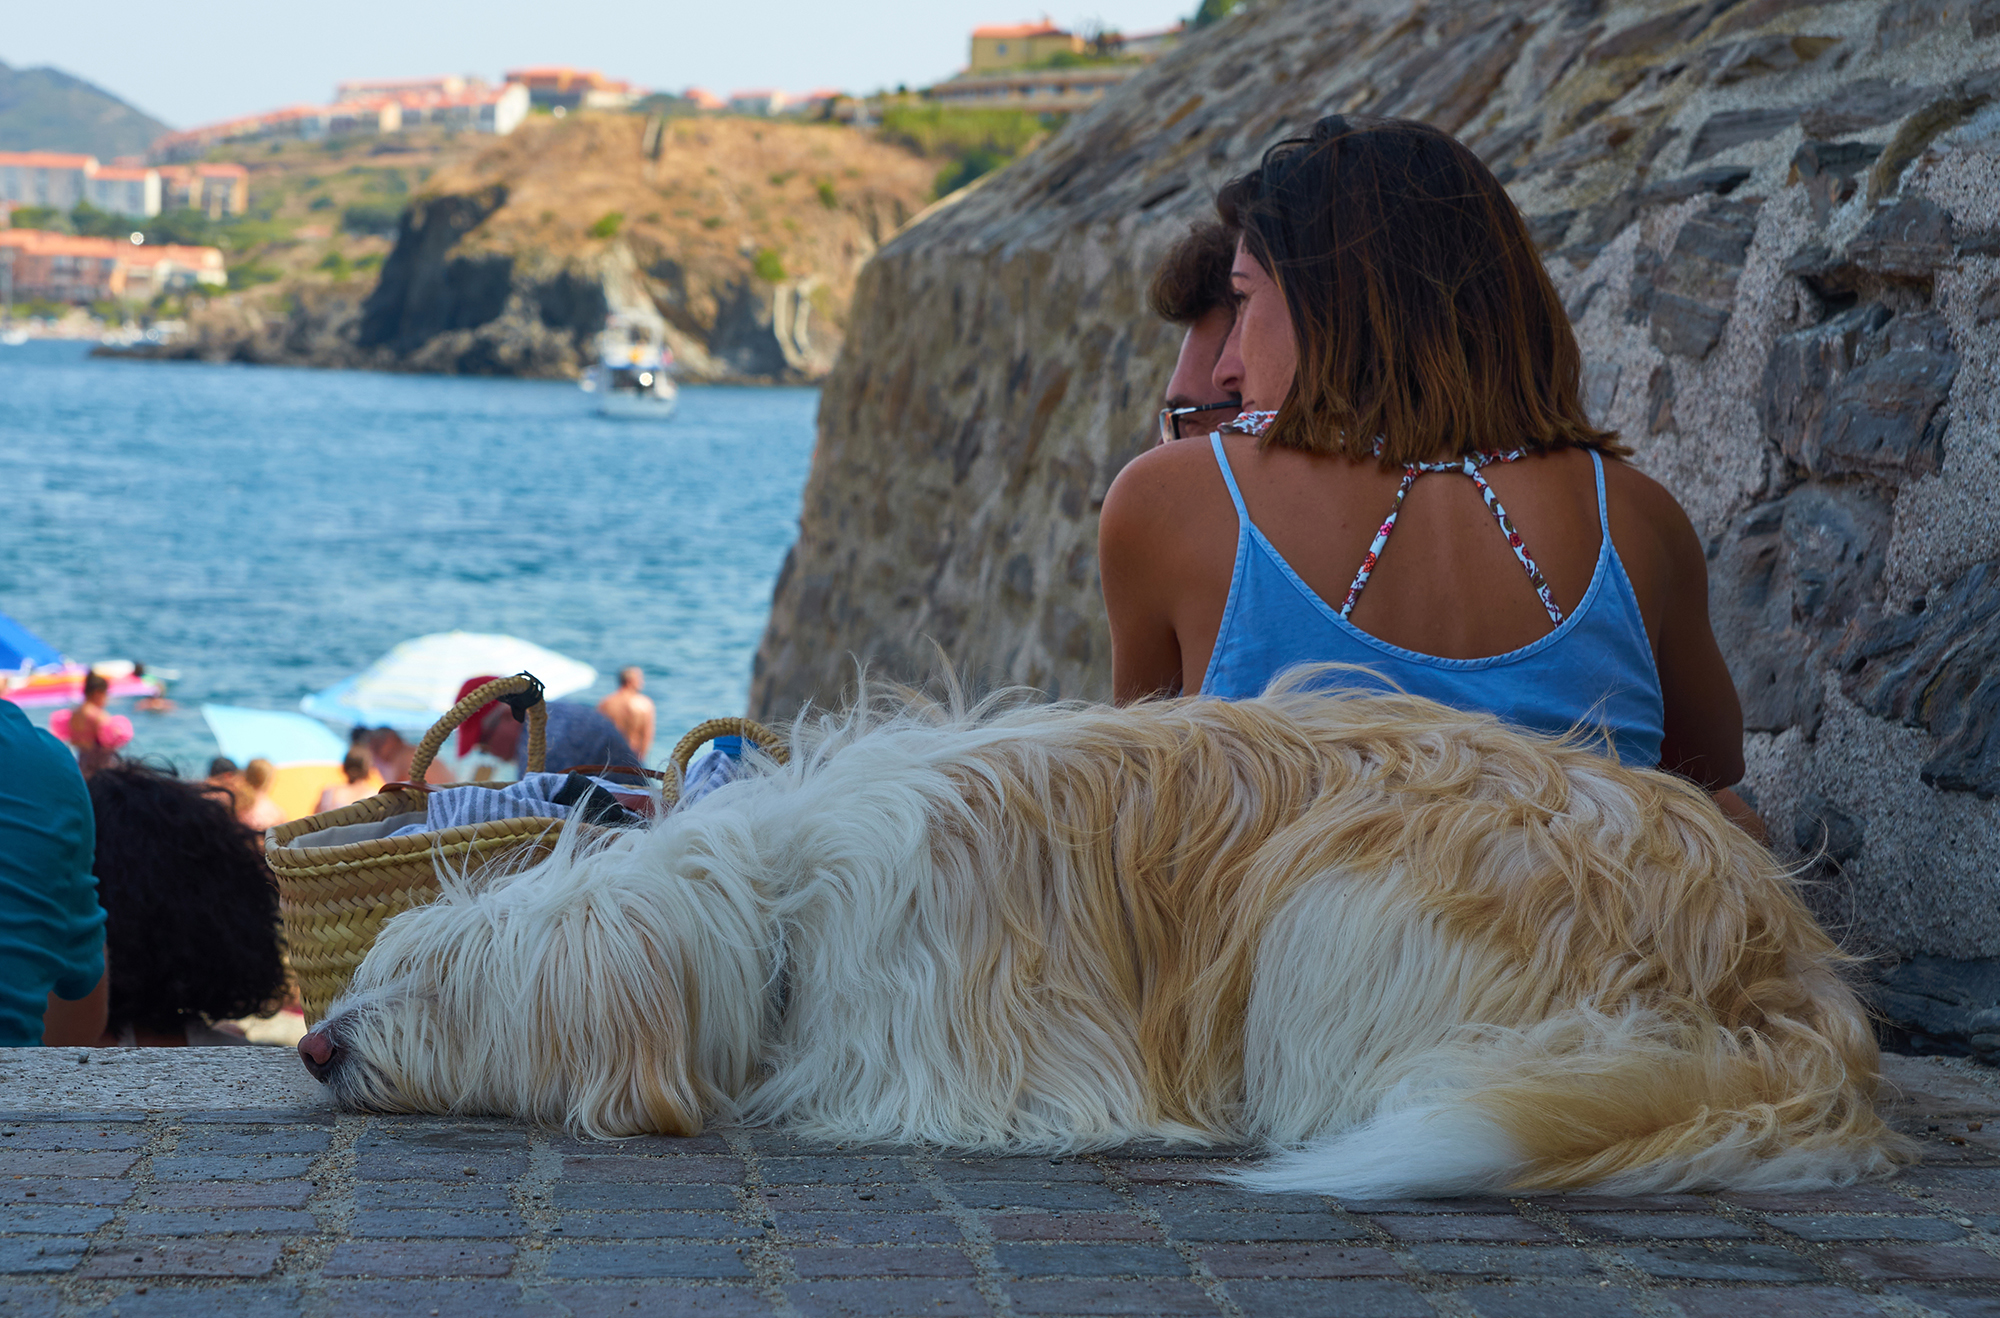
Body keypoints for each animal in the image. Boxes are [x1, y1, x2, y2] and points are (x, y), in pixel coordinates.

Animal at [292, 680, 1904, 1200]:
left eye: (439, 982)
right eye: (375, 965)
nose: (314, 1045)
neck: (779, 908)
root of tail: (1781, 956)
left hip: (1337, 906)